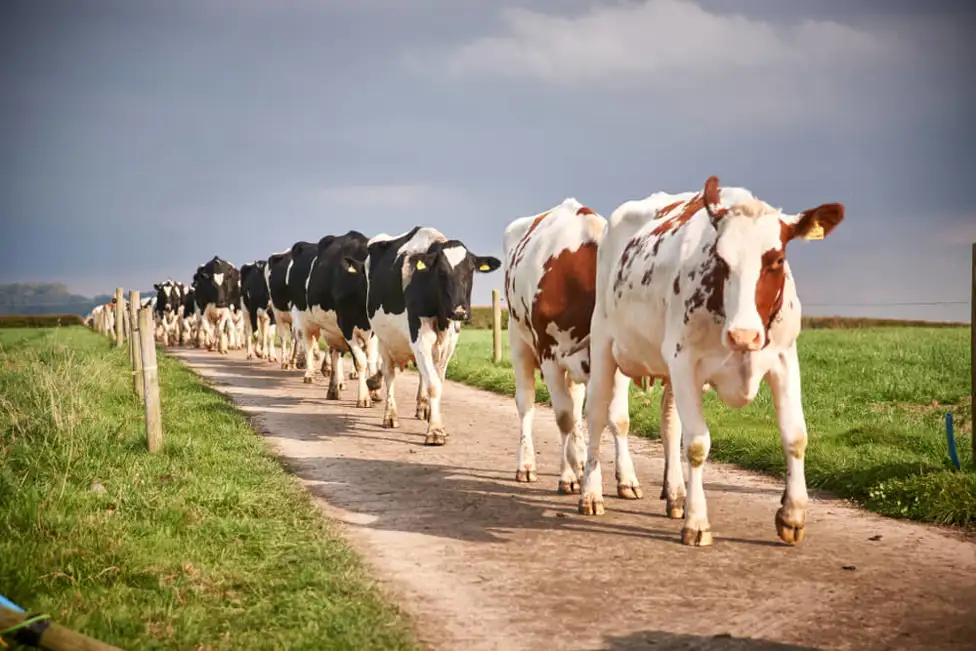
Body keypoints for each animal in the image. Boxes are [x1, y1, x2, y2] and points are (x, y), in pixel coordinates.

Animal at [303, 230, 381, 406]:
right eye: (367, 276)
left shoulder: (373, 331)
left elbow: (371, 360)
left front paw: (375, 389)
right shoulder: (347, 327)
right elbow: (360, 362)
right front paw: (364, 397)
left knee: (337, 353)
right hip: (324, 327)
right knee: (331, 353)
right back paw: (332, 389)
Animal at [365, 226, 501, 445]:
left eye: (470, 271)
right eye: (441, 272)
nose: (460, 311)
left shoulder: (449, 343)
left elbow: (438, 380)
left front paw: (433, 419)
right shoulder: (419, 338)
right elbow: (434, 385)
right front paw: (435, 431)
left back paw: (423, 408)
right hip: (384, 339)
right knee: (389, 373)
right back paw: (390, 415)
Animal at [502, 198, 605, 492]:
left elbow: (616, 419)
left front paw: (627, 480)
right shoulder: (549, 355)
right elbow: (563, 416)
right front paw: (575, 466)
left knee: (576, 403)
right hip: (519, 344)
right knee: (526, 403)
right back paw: (527, 465)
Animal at [578, 175, 845, 547]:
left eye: (776, 259)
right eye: (720, 259)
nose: (744, 335)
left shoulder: (784, 358)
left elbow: (795, 436)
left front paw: (792, 515)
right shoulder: (685, 361)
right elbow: (697, 445)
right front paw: (698, 522)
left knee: (669, 423)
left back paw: (676, 495)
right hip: (604, 342)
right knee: (597, 416)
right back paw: (591, 493)